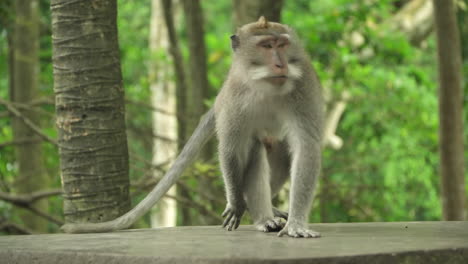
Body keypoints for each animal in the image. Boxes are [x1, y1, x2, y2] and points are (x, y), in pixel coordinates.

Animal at [62, 17, 324, 239]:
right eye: (267, 45)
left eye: (282, 44)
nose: (281, 64)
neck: (267, 88)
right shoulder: (234, 99)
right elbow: (231, 150)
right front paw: (236, 202)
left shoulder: (304, 89)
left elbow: (306, 148)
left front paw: (296, 225)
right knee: (255, 149)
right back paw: (263, 218)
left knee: (280, 151)